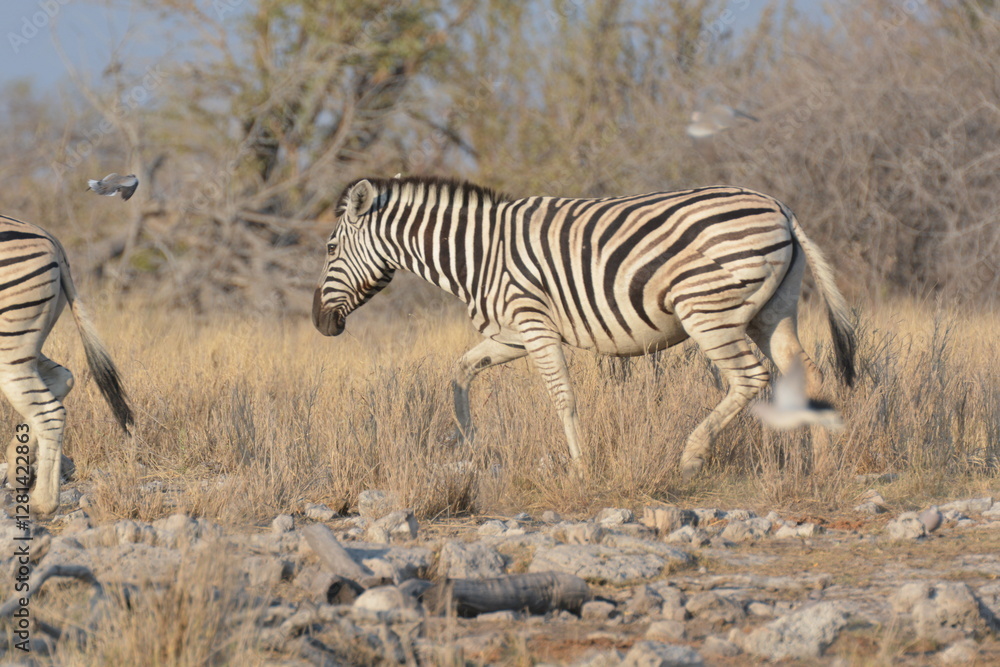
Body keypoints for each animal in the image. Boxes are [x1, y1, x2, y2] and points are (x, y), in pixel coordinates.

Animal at [1, 214, 133, 515]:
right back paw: (18, 467)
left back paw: (43, 502)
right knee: (63, 378)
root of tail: (52, 241)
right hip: (26, 340)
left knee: (50, 413)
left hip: (9, 341)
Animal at [312, 177, 855, 478]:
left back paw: (691, 457)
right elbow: (461, 372)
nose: (320, 325)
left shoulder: (533, 324)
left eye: (330, 249)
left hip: (706, 310)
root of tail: (780, 208)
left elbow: (562, 396)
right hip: (773, 311)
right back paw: (822, 464)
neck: (479, 254)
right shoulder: (510, 334)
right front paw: (470, 444)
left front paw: (580, 467)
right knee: (807, 373)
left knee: (750, 378)